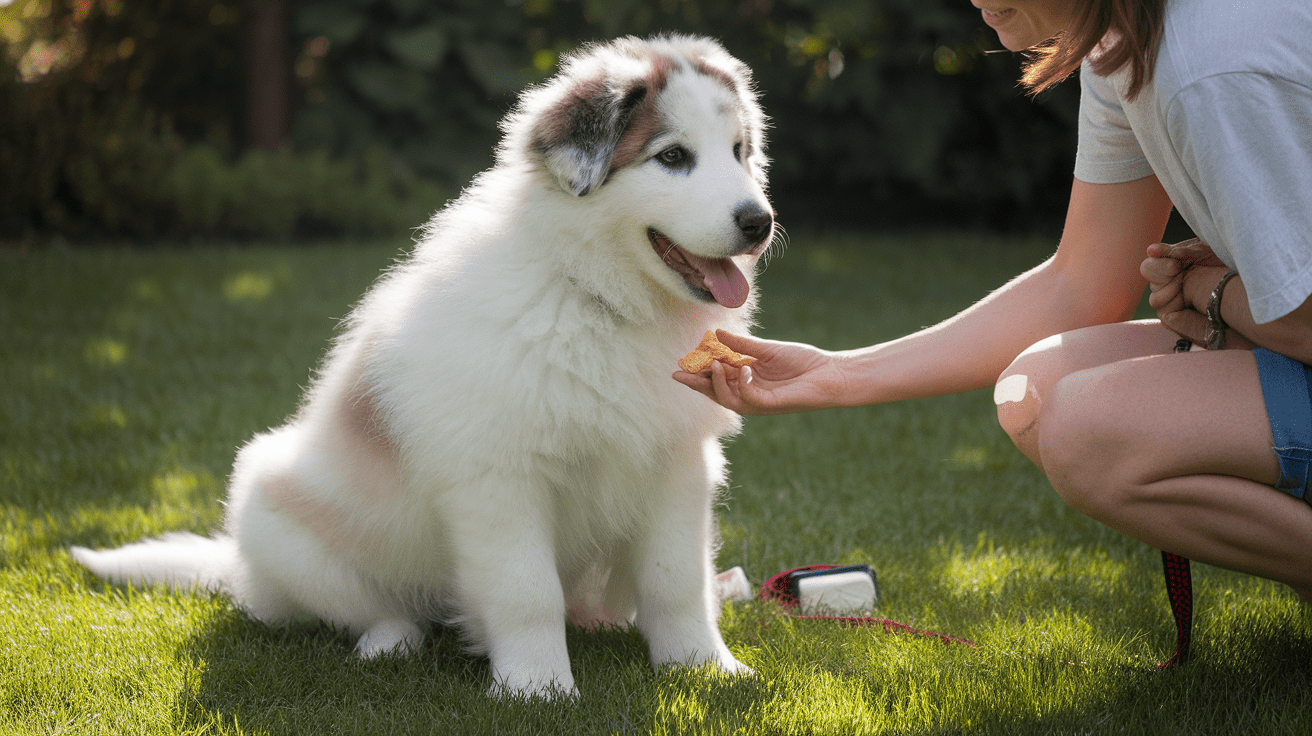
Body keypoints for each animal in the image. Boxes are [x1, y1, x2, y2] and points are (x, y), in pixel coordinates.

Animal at [71, 34, 771, 697]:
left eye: (738, 151)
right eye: (673, 157)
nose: (759, 222)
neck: (598, 300)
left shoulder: (676, 467)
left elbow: (677, 583)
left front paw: (704, 669)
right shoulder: (500, 480)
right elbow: (527, 592)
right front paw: (538, 689)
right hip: (281, 517)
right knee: (378, 609)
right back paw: (390, 646)